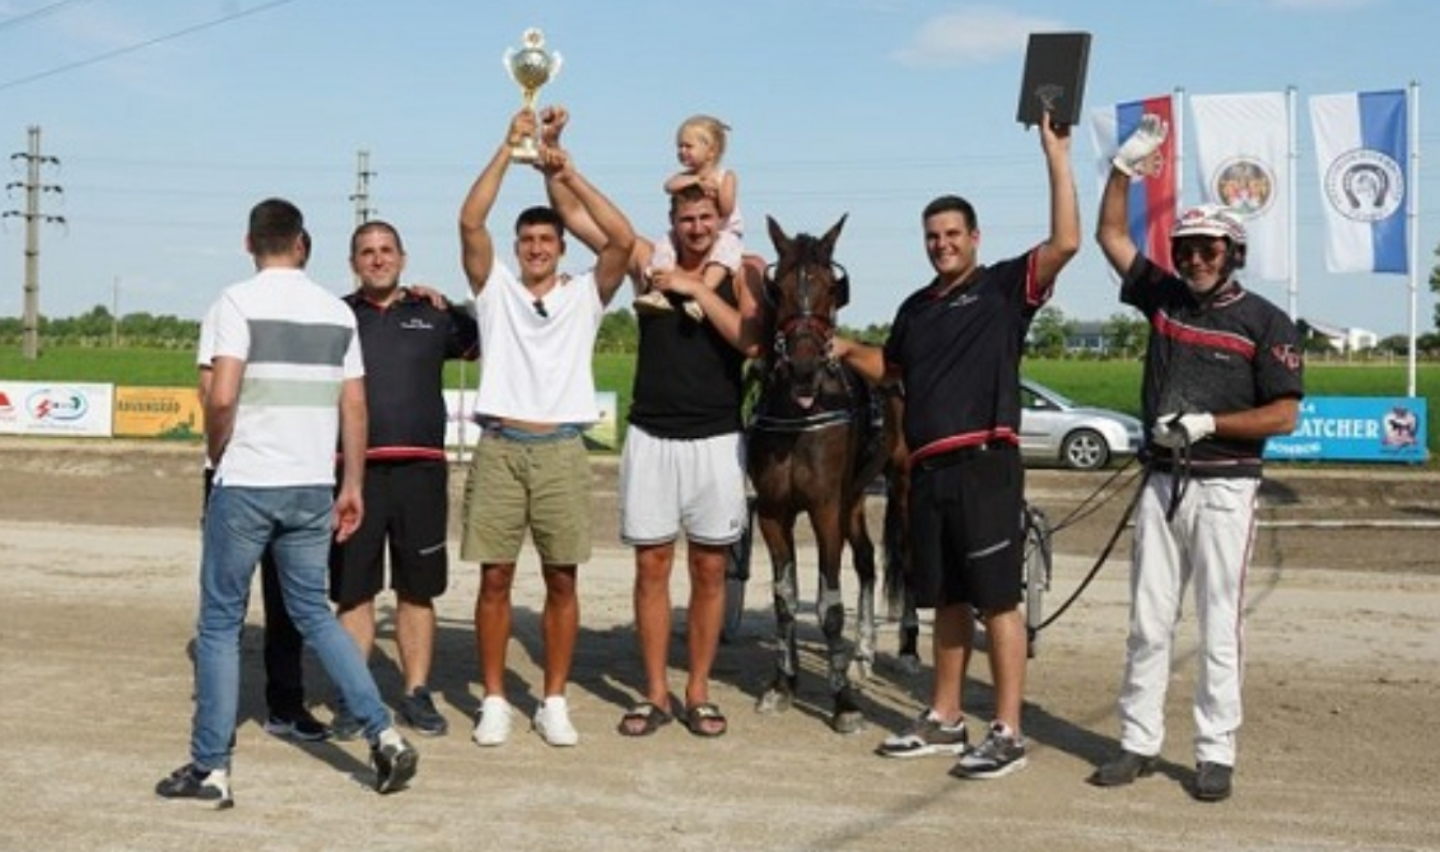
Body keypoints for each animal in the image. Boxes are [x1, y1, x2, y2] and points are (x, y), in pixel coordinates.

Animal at [743, 213, 898, 731]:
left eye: (833, 287)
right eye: (780, 288)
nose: (805, 366)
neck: (800, 415)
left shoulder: (825, 507)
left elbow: (830, 606)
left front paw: (843, 700)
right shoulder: (774, 512)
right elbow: (785, 599)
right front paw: (782, 684)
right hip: (854, 496)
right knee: (866, 560)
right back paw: (861, 654)